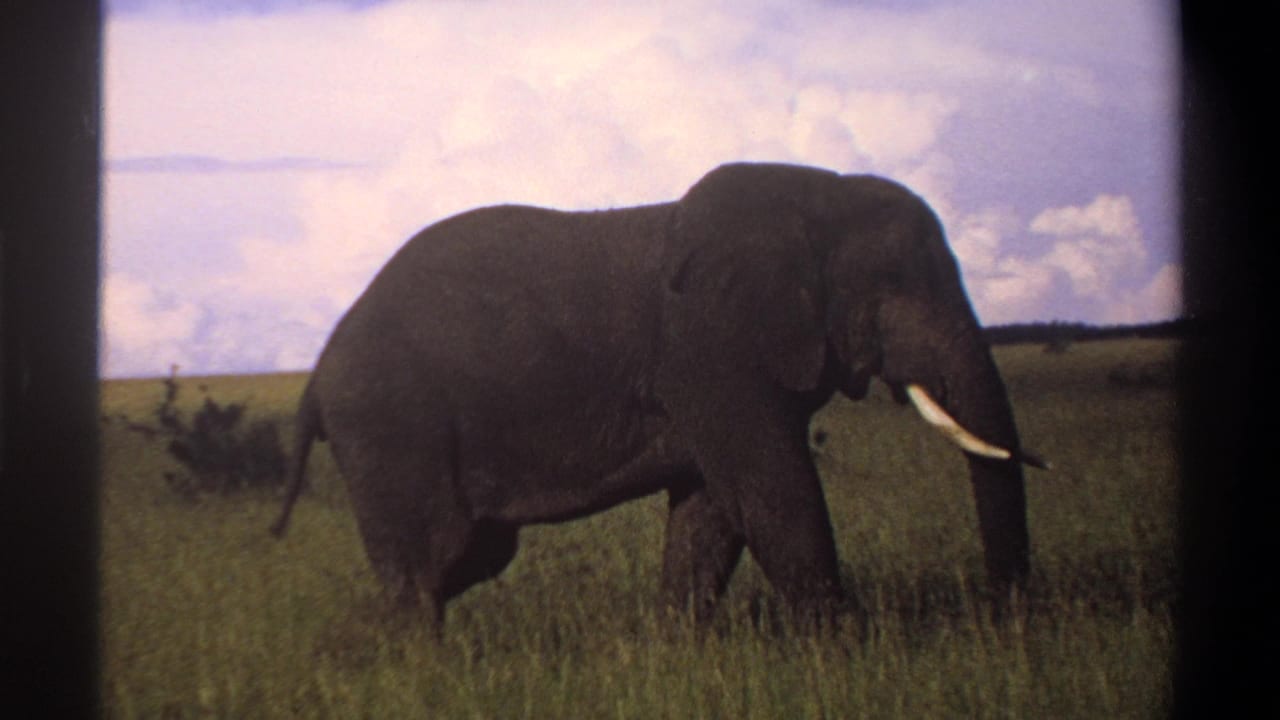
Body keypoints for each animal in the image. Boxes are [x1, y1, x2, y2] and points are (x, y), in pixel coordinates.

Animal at [270, 161, 1046, 632]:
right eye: (894, 285)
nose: (1004, 619)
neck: (811, 193)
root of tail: (317, 375)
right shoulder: (712, 347)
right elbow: (774, 492)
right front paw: (850, 653)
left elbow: (714, 511)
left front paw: (679, 648)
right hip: (390, 428)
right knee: (430, 565)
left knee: (466, 559)